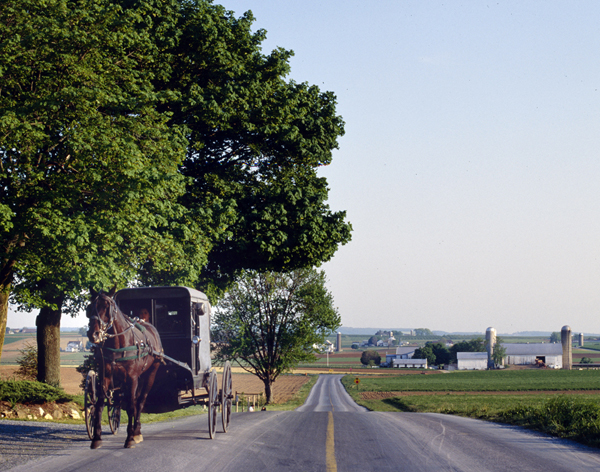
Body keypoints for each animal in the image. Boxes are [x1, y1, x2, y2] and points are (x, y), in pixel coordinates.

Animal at [85, 288, 163, 450]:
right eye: (89, 308)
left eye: (107, 307)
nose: (93, 334)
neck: (119, 344)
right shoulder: (105, 376)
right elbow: (100, 405)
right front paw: (96, 438)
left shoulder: (132, 379)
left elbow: (132, 406)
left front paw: (130, 438)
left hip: (150, 374)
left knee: (140, 401)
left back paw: (136, 431)